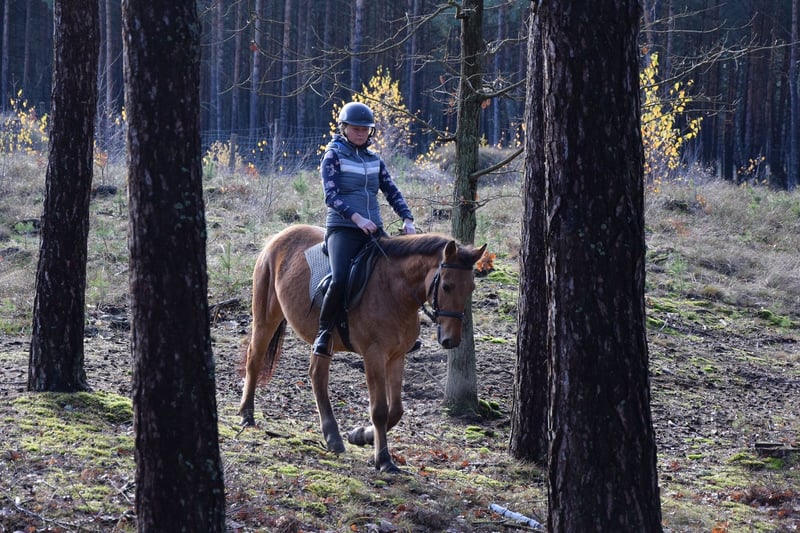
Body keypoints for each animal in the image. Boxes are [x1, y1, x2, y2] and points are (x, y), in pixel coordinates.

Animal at [238, 224, 486, 473]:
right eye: (446, 286)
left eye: (471, 288)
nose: (451, 340)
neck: (393, 290)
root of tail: (279, 237)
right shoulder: (373, 355)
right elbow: (379, 410)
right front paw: (384, 460)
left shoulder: (397, 356)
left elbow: (396, 410)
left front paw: (360, 435)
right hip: (266, 317)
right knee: (255, 359)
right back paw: (247, 415)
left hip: (323, 340)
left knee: (317, 376)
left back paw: (333, 437)